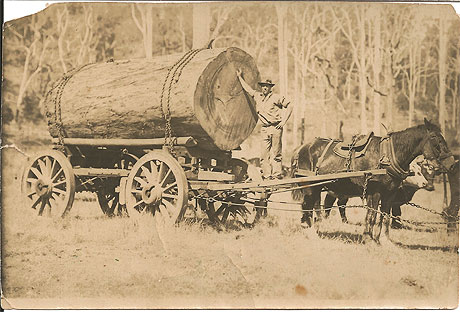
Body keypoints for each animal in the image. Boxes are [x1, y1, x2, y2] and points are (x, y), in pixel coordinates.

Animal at [292, 118, 452, 243]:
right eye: (435, 138)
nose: (451, 162)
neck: (388, 156)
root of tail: (301, 148)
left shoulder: (390, 194)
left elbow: (385, 217)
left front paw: (384, 240)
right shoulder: (374, 192)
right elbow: (372, 215)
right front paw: (368, 238)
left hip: (317, 186)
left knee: (314, 206)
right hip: (309, 185)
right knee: (307, 205)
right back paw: (310, 231)